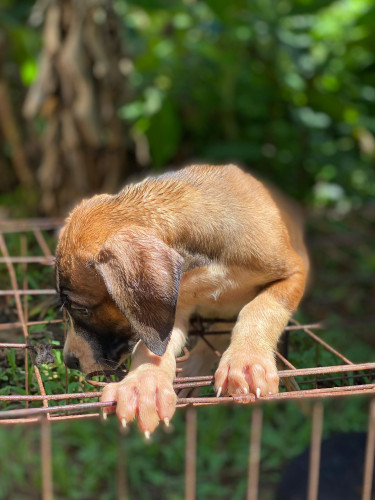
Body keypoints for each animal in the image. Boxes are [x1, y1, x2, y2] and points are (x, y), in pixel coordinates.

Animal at [55, 166, 308, 436]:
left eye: (80, 308)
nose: (69, 361)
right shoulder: (170, 310)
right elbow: (151, 348)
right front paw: (143, 384)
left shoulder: (295, 272)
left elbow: (260, 309)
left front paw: (247, 359)